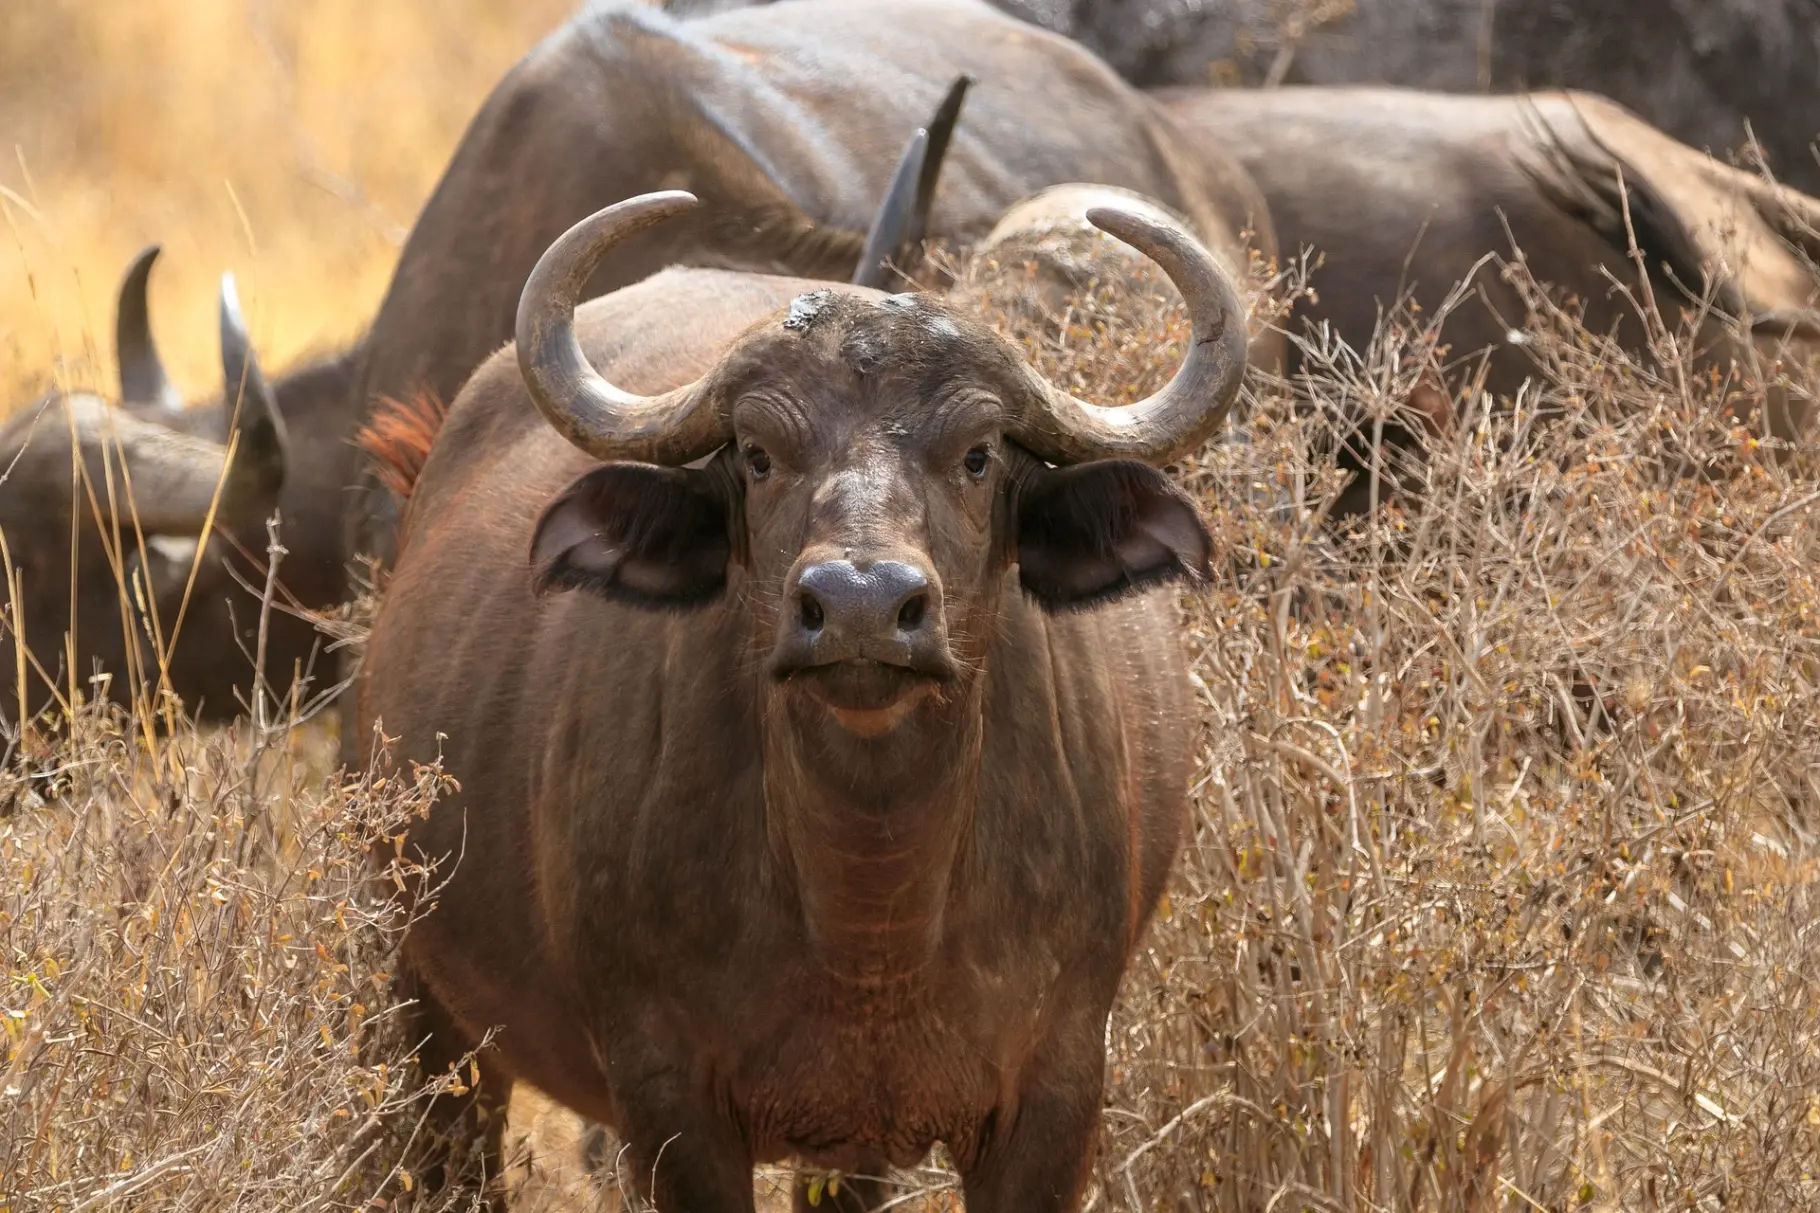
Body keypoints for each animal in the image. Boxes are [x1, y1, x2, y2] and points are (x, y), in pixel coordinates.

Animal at [357, 188, 1245, 1211]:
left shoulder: (1055, 1096)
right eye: (756, 453)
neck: (871, 913)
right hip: (424, 995)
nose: (861, 606)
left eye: (979, 454)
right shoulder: (668, 1101)